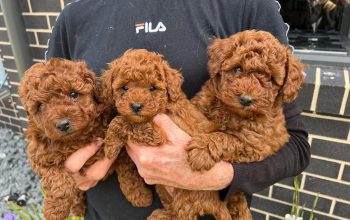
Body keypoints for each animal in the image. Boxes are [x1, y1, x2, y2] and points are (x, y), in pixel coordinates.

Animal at [18, 58, 117, 220]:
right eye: (40, 105)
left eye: (73, 94)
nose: (63, 124)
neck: (73, 140)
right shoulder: (37, 155)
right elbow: (56, 176)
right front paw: (54, 211)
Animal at [102, 49, 238, 219]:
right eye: (125, 87)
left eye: (152, 88)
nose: (136, 106)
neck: (164, 104)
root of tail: (216, 203)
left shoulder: (156, 133)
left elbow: (122, 121)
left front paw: (110, 145)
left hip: (185, 193)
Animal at [189, 30, 304, 218]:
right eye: (237, 69)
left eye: (271, 78)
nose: (246, 99)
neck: (232, 112)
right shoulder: (202, 103)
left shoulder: (255, 144)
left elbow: (226, 138)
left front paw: (201, 150)